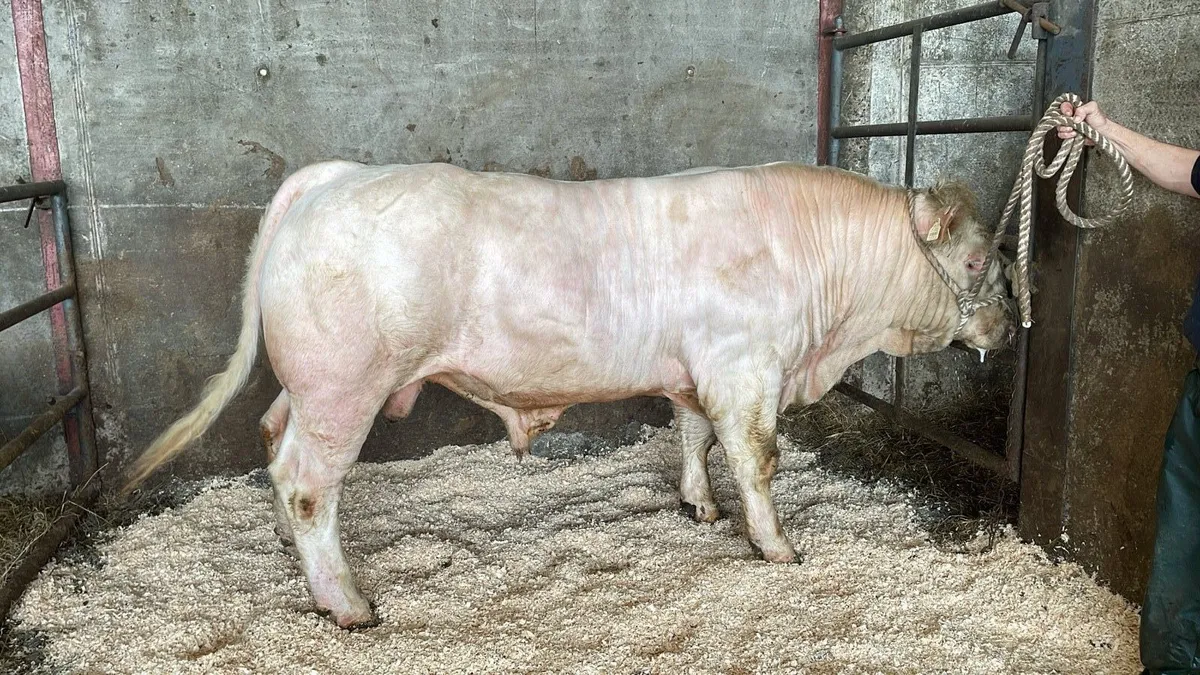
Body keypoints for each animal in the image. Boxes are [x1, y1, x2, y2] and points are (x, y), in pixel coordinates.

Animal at [123, 160, 1015, 628]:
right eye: (977, 261)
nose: (1009, 326)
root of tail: (334, 174)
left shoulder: (694, 370)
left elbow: (692, 435)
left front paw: (699, 505)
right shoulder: (745, 367)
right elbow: (757, 459)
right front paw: (777, 546)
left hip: (306, 387)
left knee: (274, 441)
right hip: (344, 386)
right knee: (308, 483)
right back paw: (346, 601)